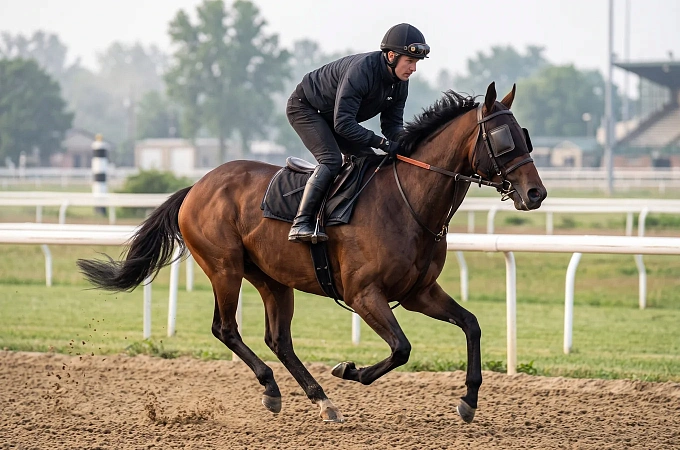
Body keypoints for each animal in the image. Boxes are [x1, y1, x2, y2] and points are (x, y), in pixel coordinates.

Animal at [78, 82, 547, 424]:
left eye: (525, 135)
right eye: (504, 138)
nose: (536, 193)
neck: (408, 201)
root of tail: (196, 186)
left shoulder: (419, 292)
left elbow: (471, 325)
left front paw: (469, 399)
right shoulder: (364, 294)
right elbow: (401, 348)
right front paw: (349, 369)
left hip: (271, 279)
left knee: (278, 339)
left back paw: (319, 398)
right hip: (224, 268)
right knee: (226, 329)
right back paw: (274, 389)